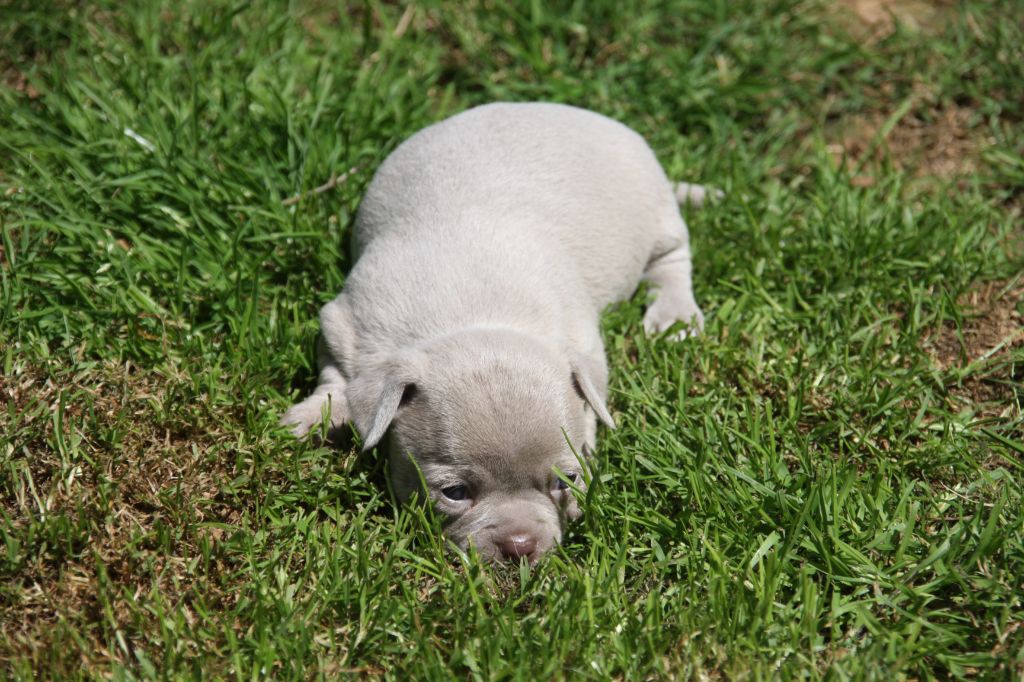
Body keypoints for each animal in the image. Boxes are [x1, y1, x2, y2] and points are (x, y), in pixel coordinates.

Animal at [281, 102, 715, 563]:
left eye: (565, 481)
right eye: (454, 492)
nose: (520, 546)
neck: (476, 316)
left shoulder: (583, 345)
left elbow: (590, 409)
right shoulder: (344, 326)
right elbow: (336, 380)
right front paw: (313, 417)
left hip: (658, 215)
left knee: (673, 258)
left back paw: (674, 315)